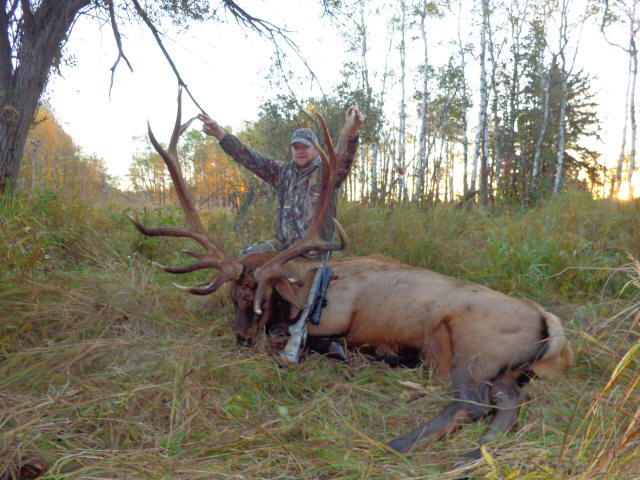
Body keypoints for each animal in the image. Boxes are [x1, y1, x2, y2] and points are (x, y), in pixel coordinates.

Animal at [129, 90, 573, 466]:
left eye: (262, 297)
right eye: (231, 297)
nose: (242, 337)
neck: (304, 286)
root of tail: (550, 324)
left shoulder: (335, 320)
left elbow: (303, 343)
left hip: (473, 348)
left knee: (472, 403)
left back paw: (398, 443)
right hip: (503, 369)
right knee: (512, 400)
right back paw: (470, 455)